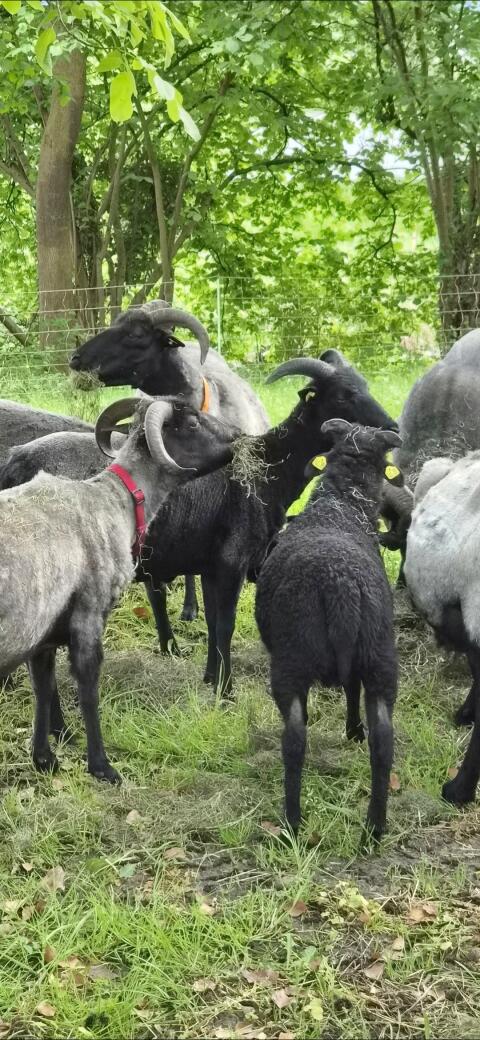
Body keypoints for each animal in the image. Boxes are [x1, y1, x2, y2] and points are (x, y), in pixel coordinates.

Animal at [0, 395, 234, 783]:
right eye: (192, 424)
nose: (237, 438)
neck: (115, 498)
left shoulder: (45, 630)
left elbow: (43, 687)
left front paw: (45, 759)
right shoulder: (88, 614)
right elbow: (88, 686)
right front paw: (101, 766)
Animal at [139, 352, 398, 696]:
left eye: (365, 385)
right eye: (343, 395)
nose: (393, 427)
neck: (269, 468)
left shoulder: (211, 566)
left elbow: (212, 622)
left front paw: (210, 678)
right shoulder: (232, 561)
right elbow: (225, 625)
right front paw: (226, 690)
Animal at [254, 419, 402, 840]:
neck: (341, 507)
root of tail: (341, 585)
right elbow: (351, 689)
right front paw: (353, 732)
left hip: (290, 662)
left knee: (294, 741)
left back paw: (291, 822)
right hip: (380, 657)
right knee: (384, 742)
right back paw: (374, 828)